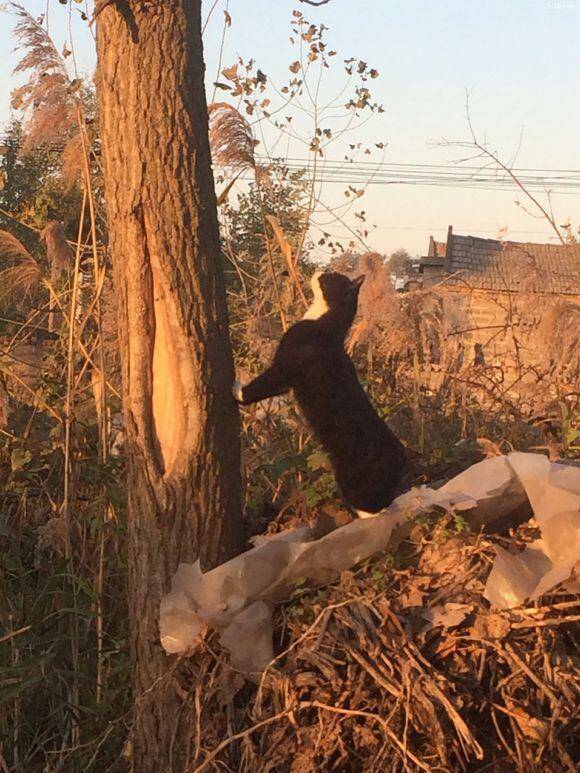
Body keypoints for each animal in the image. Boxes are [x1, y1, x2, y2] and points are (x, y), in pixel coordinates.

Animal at [232, 272, 408, 520]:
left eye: (330, 276)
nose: (319, 271)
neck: (323, 322)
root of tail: (402, 456)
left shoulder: (285, 368)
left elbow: (262, 385)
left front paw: (237, 388)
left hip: (352, 478)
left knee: (371, 509)